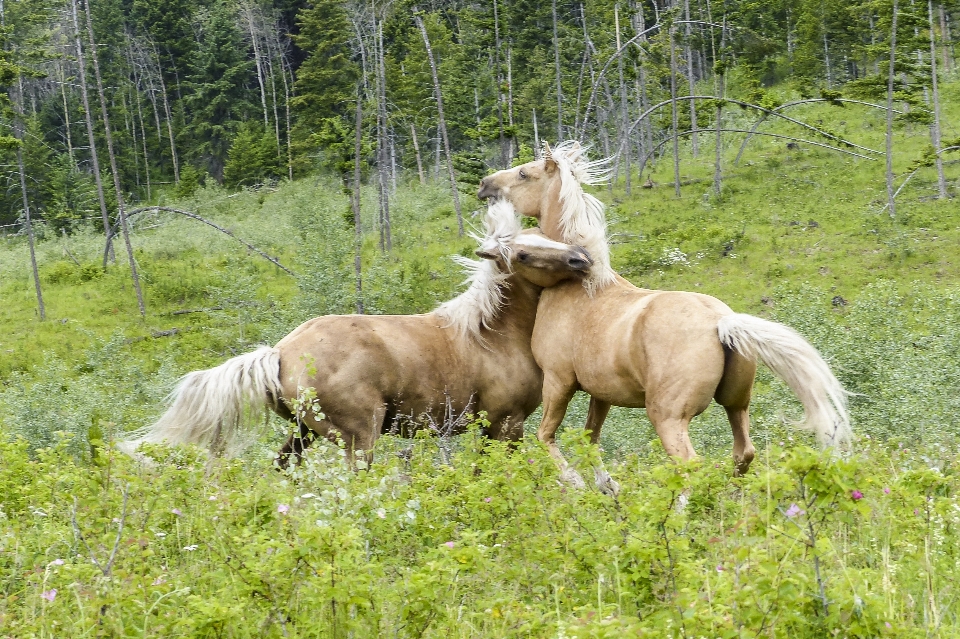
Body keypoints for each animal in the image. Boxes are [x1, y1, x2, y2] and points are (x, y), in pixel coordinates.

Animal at [118, 202, 592, 468]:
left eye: (543, 233)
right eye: (525, 253)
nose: (581, 258)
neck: (491, 336)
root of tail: (279, 353)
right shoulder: (504, 425)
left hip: (305, 433)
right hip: (359, 437)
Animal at [478, 142, 848, 492]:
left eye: (524, 172)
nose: (485, 185)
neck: (580, 286)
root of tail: (721, 323)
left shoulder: (558, 381)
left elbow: (547, 436)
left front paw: (576, 482)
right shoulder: (601, 394)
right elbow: (590, 440)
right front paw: (607, 487)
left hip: (667, 416)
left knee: (689, 465)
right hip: (736, 405)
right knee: (743, 453)